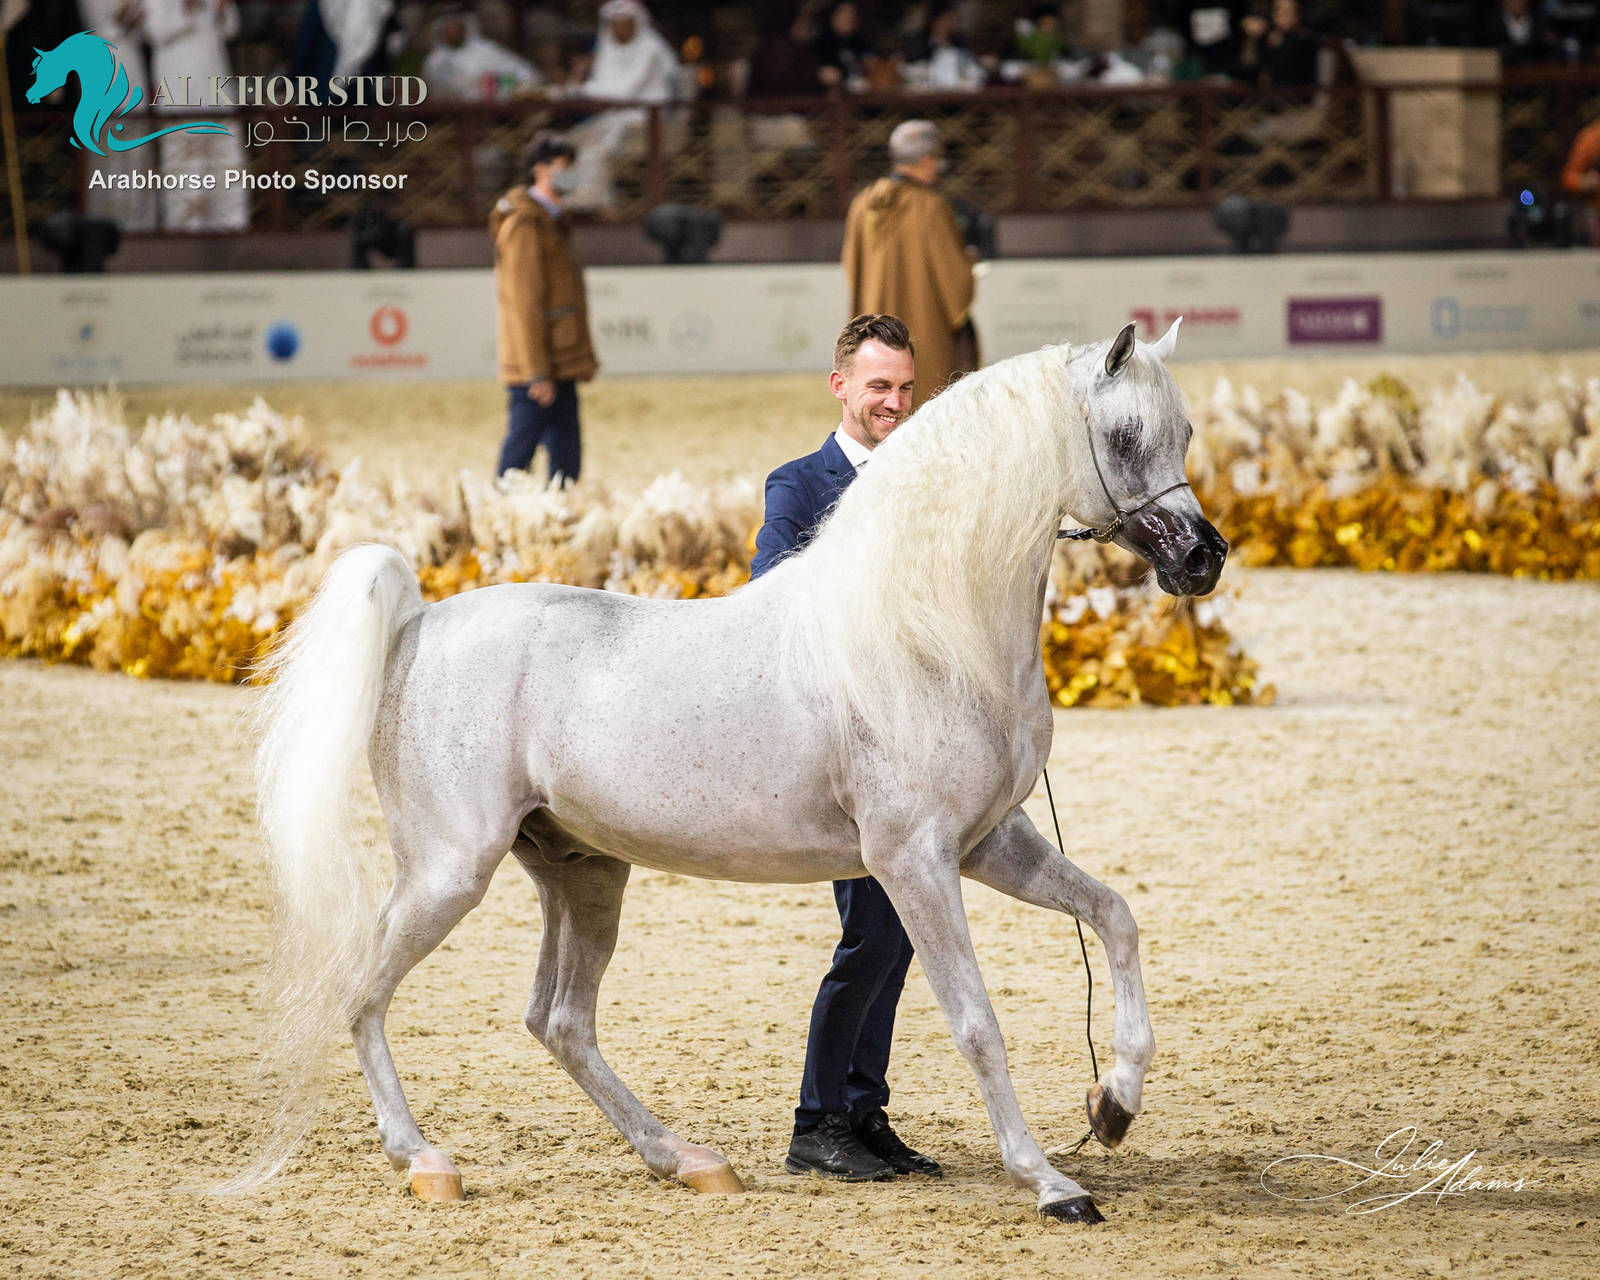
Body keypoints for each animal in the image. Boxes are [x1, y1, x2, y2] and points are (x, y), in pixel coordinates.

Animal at [234, 321, 1226, 1223]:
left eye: (1182, 431)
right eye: (1124, 435)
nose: (1202, 557)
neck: (927, 629)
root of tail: (418, 625)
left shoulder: (990, 845)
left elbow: (1116, 916)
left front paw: (1114, 1105)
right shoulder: (915, 862)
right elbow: (977, 1024)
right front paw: (1052, 1183)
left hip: (584, 872)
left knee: (560, 1020)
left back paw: (685, 1159)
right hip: (449, 873)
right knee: (365, 991)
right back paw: (424, 1160)